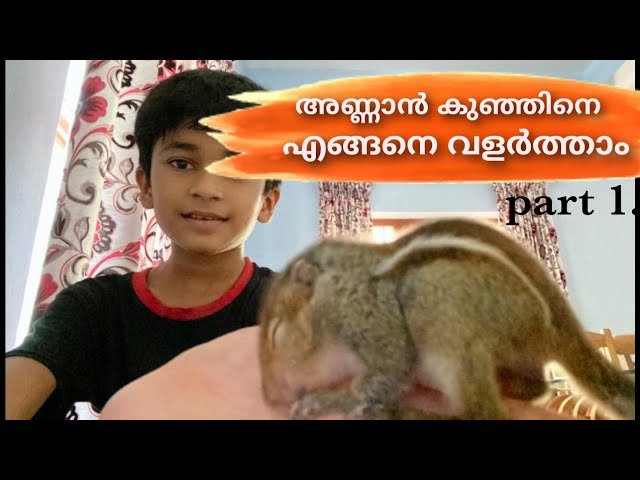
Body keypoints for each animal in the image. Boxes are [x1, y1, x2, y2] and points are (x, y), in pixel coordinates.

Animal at [258, 218, 635, 420]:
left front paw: (324, 400)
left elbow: (383, 373)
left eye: (276, 333)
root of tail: (557, 331)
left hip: (436, 298)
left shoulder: (372, 321)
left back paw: (405, 412)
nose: (271, 398)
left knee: (482, 413)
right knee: (535, 387)